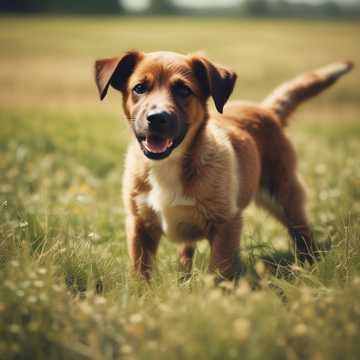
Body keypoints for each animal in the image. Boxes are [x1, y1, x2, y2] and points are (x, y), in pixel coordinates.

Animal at [93, 50, 352, 282]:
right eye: (139, 88)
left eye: (183, 90)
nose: (157, 118)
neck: (169, 164)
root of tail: (266, 110)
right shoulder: (139, 225)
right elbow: (140, 273)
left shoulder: (225, 224)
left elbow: (217, 272)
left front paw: (213, 298)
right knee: (185, 253)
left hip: (286, 196)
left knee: (303, 233)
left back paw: (310, 265)